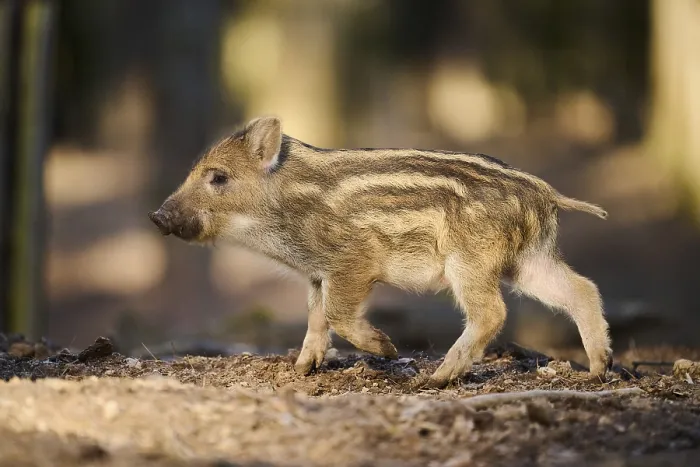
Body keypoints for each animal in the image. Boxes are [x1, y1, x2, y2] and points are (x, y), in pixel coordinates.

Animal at [148, 116, 613, 387]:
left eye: (218, 177)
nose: (156, 215)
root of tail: (545, 192)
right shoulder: (317, 273)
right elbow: (316, 315)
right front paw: (303, 369)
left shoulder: (352, 261)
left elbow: (336, 313)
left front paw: (386, 350)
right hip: (526, 260)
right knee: (582, 288)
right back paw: (598, 368)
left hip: (471, 261)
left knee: (491, 312)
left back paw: (435, 379)